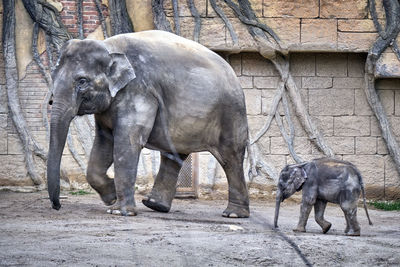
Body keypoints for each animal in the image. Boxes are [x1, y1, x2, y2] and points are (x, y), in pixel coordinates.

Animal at [47, 29, 250, 218]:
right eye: (52, 76)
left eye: (82, 81)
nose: (57, 206)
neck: (109, 46)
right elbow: (104, 142)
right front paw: (111, 197)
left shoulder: (139, 90)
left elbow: (127, 141)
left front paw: (118, 211)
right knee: (173, 155)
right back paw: (155, 205)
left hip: (231, 112)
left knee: (230, 157)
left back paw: (233, 214)